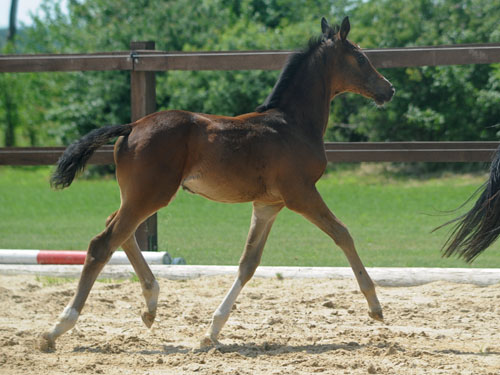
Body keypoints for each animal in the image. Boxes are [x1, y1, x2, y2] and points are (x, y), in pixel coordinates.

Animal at [41, 16, 394, 352]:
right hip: (151, 194)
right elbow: (342, 234)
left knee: (118, 230)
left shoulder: (268, 204)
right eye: (361, 58)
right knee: (103, 243)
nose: (388, 89)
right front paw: (375, 306)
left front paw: (211, 332)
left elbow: (248, 263)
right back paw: (56, 329)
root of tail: (132, 126)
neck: (292, 123)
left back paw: (151, 305)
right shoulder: (301, 193)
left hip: (138, 194)